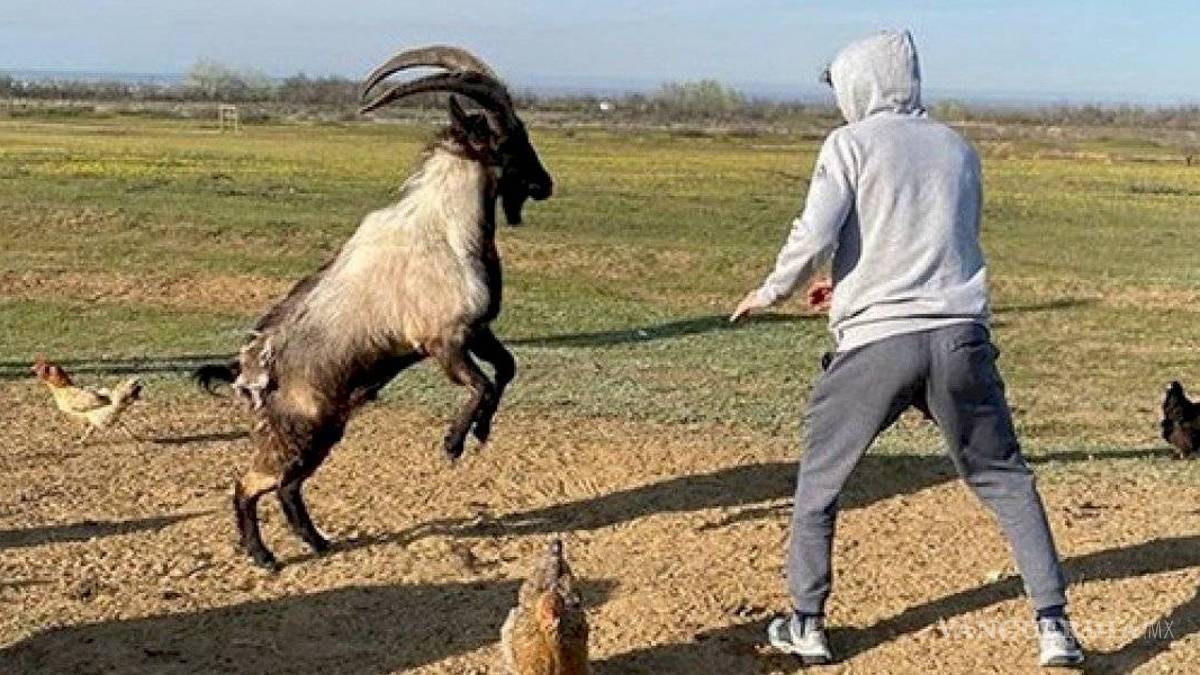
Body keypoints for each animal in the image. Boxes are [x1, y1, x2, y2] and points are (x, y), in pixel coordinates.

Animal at [195, 45, 553, 570]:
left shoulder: (478, 331)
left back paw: (319, 543)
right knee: (248, 485)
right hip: (294, 434)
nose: (546, 184)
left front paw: (482, 431)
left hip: (326, 431)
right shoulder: (442, 340)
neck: (448, 231)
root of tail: (246, 374)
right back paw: (264, 557)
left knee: (288, 487)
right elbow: (482, 383)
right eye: (509, 139)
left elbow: (506, 369)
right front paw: (452, 444)